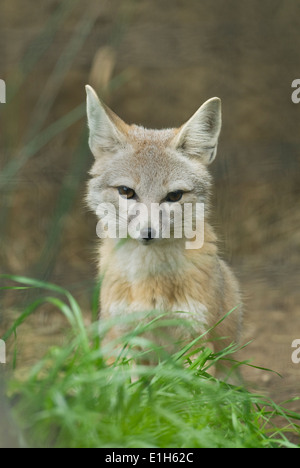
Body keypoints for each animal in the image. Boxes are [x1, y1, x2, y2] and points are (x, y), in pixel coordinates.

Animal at [85, 83, 243, 370]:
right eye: (126, 192)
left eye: (174, 196)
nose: (148, 233)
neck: (151, 280)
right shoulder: (125, 340)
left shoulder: (197, 341)